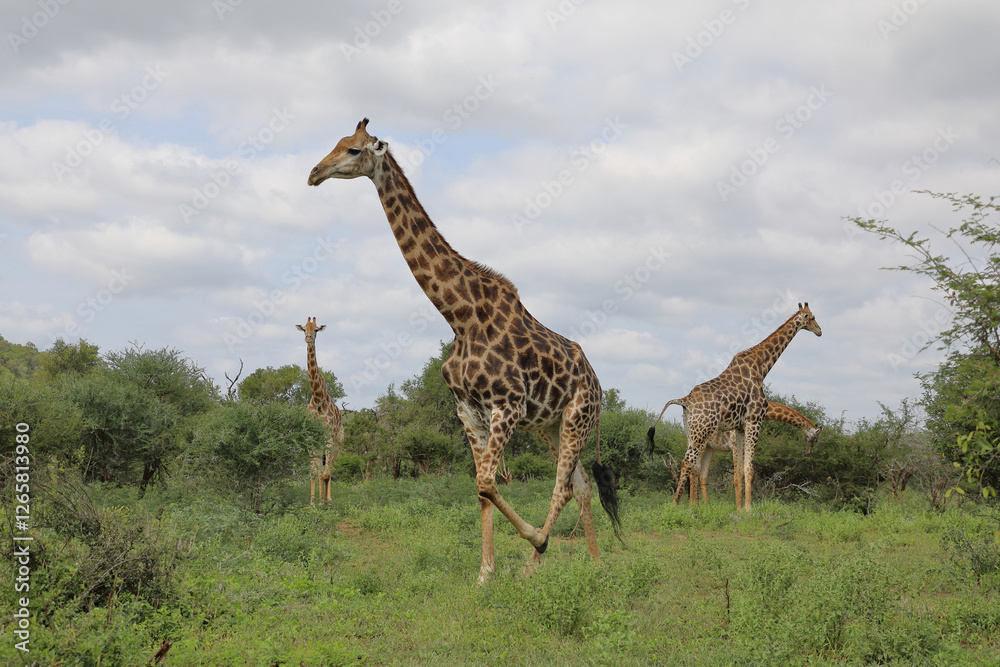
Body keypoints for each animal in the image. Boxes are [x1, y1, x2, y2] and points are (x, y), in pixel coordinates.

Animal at [296, 317, 345, 507]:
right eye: (304, 329)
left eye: (316, 329)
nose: (308, 338)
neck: (317, 399)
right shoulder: (311, 438)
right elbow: (314, 472)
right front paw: (312, 504)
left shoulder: (329, 438)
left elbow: (326, 473)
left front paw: (325, 503)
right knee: (321, 470)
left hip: (338, 443)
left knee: (330, 470)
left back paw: (328, 501)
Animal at [308, 118, 621, 582]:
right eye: (337, 142)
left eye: (353, 150)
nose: (314, 173)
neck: (460, 316)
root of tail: (599, 385)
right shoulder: (468, 411)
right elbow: (481, 489)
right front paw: (485, 575)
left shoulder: (506, 405)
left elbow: (487, 482)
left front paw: (525, 546)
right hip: (552, 424)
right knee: (580, 486)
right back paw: (595, 567)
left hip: (577, 417)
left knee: (563, 486)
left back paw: (537, 557)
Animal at [689, 402, 820, 506]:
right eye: (815, 439)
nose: (808, 453)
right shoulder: (734, 445)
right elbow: (736, 476)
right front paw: (739, 508)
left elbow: (744, 473)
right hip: (699, 444)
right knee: (693, 470)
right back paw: (693, 505)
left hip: (710, 447)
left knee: (702, 474)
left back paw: (704, 505)